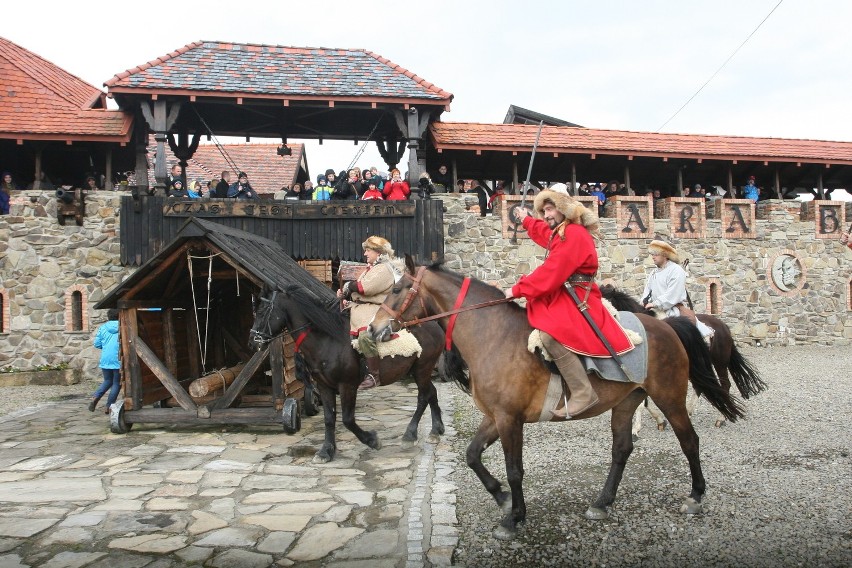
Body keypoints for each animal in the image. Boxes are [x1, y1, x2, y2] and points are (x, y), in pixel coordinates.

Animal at [370, 260, 744, 540]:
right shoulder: (494, 417)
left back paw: (695, 496)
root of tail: (667, 327)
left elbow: (515, 470)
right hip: (626, 403)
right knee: (622, 450)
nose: (373, 330)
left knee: (689, 441)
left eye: (398, 288)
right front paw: (502, 497)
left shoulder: (509, 420)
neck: (492, 334)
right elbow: (473, 455)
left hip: (669, 397)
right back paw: (602, 502)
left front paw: (514, 517)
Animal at [600, 286, 764, 428]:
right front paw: (659, 420)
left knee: (725, 385)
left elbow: (641, 403)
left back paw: (721, 418)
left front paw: (636, 429)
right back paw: (690, 411)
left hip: (720, 362)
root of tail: (723, 326)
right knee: (700, 385)